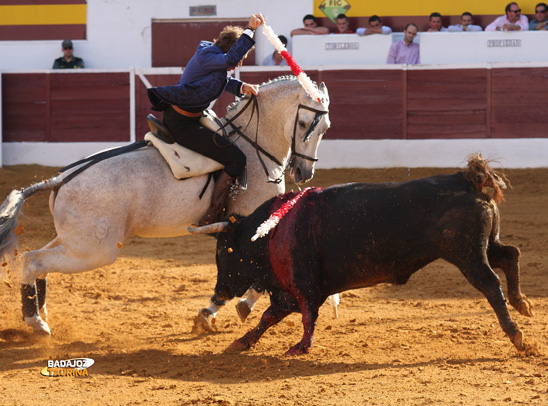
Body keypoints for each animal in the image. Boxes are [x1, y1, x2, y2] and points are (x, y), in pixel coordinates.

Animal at [0, 75, 330, 334]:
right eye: (304, 123)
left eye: (325, 126)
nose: (304, 172)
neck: (253, 144)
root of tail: (61, 179)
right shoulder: (248, 226)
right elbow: (252, 273)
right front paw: (234, 308)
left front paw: (213, 312)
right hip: (94, 251)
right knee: (34, 261)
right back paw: (36, 323)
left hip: (74, 241)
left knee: (34, 259)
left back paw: (40, 314)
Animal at [191, 163, 532, 356]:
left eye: (226, 252)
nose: (219, 292)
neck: (273, 231)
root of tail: (464, 180)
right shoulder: (287, 291)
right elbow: (268, 317)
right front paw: (241, 342)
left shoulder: (304, 286)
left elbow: (306, 316)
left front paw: (300, 347)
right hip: (484, 246)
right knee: (510, 255)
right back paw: (522, 303)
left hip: (466, 255)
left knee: (491, 284)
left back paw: (517, 335)